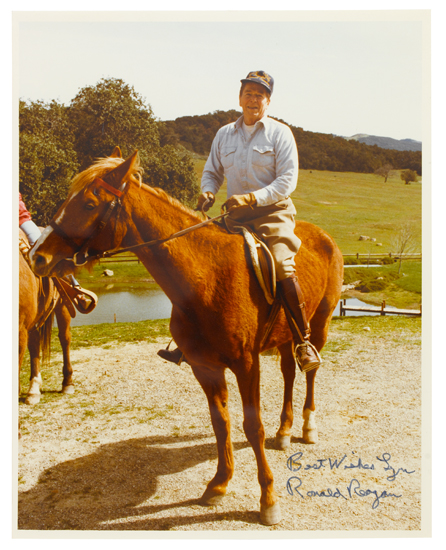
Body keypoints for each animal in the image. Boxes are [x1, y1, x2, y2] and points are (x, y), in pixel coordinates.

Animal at [30, 150, 344, 528]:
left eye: (89, 203)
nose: (37, 256)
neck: (207, 278)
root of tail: (323, 236)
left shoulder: (246, 364)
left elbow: (252, 426)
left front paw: (268, 500)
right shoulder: (204, 367)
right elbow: (221, 424)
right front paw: (219, 484)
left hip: (318, 325)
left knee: (309, 372)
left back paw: (307, 427)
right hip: (286, 337)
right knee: (287, 374)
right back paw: (284, 431)